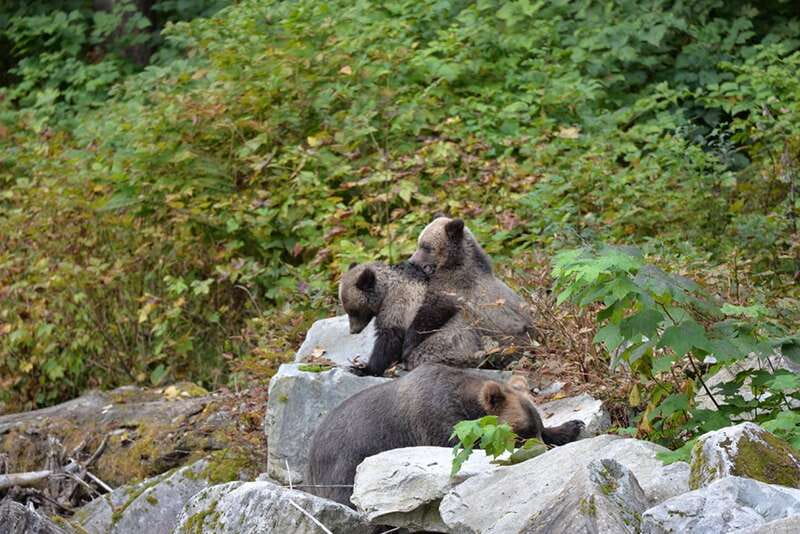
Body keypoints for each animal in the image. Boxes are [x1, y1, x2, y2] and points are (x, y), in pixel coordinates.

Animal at [305, 363, 585, 507]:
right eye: (521, 433)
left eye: (535, 427)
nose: (542, 449)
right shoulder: (434, 421)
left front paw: (572, 425)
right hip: (346, 463)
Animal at [339, 261, 483, 376]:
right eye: (347, 310)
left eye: (353, 311)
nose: (353, 330)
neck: (385, 291)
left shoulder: (397, 305)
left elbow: (390, 339)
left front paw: (364, 368)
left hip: (447, 340)